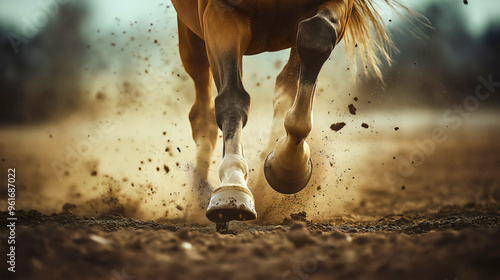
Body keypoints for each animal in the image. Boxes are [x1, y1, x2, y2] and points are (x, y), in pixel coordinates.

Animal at [170, 0, 412, 223]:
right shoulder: (221, 12)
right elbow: (232, 98)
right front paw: (233, 185)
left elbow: (315, 37)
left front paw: (288, 164)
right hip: (193, 36)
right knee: (202, 114)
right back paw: (200, 195)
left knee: (285, 83)